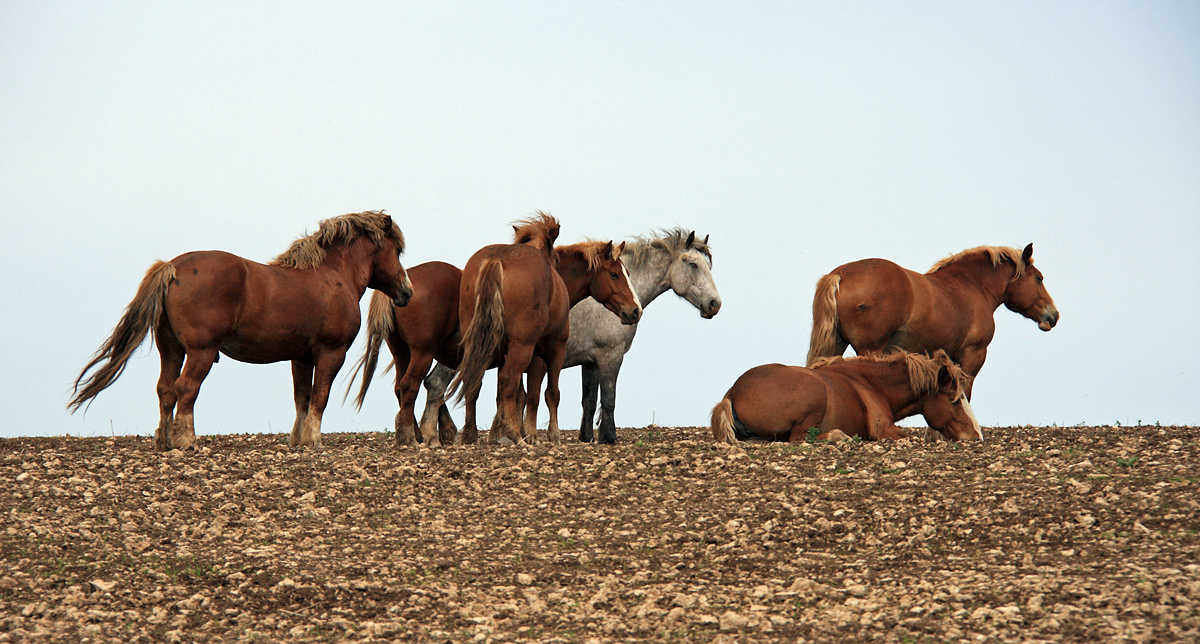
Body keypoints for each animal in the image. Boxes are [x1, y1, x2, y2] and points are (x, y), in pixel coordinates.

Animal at [68, 208, 412, 448]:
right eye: (396, 251)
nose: (406, 292)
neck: (331, 274)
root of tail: (172, 267)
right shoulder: (331, 352)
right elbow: (320, 395)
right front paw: (313, 440)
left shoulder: (300, 356)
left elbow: (301, 397)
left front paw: (298, 441)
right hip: (201, 352)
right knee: (186, 388)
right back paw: (186, 440)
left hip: (171, 350)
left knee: (165, 389)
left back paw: (164, 441)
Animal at [348, 260, 463, 446]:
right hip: (423, 353)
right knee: (410, 384)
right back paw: (411, 436)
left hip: (401, 353)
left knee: (401, 387)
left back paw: (414, 432)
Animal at [446, 213, 643, 443]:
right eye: (614, 274)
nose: (635, 310)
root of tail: (497, 260)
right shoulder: (550, 352)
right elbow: (545, 393)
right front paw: (543, 434)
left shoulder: (506, 354)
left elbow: (516, 395)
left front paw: (501, 431)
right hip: (523, 347)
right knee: (509, 380)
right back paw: (514, 434)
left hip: (478, 345)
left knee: (475, 380)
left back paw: (471, 433)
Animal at [710, 350, 974, 443]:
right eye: (955, 399)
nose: (976, 436)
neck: (869, 384)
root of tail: (733, 391)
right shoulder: (883, 429)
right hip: (815, 396)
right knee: (801, 438)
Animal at [806, 244, 1060, 398]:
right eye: (1039, 278)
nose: (1053, 315)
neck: (973, 286)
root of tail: (840, 275)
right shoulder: (973, 354)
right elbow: (965, 391)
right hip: (870, 349)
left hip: (836, 344)